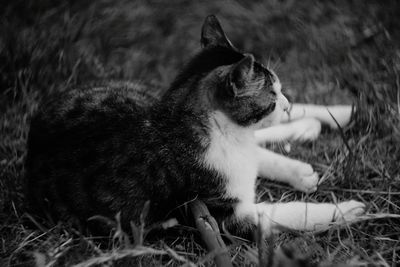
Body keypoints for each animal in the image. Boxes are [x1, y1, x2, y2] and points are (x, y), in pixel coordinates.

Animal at [23, 15, 364, 236]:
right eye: (272, 97)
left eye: (280, 91)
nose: (287, 104)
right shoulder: (223, 214)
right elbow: (293, 213)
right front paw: (347, 210)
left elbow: (257, 150)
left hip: (136, 94)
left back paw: (336, 115)